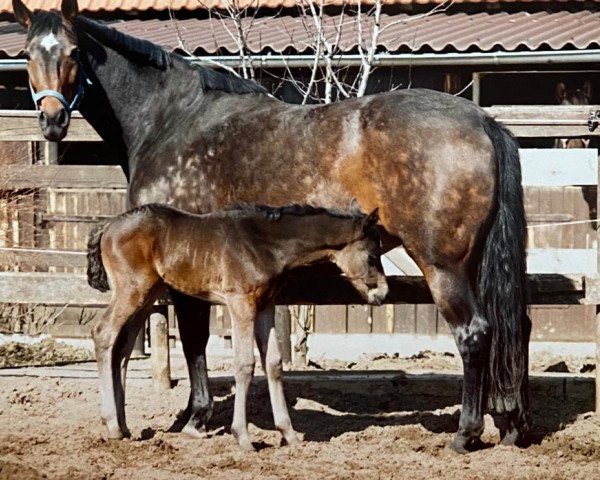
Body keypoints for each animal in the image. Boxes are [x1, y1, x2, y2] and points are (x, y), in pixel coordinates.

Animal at [88, 202, 390, 450]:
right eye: (372, 256)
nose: (383, 293)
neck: (265, 244)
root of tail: (107, 227)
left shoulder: (266, 306)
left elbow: (273, 363)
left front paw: (289, 434)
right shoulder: (240, 303)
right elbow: (245, 364)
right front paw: (242, 437)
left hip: (147, 295)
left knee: (123, 348)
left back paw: (123, 426)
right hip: (132, 291)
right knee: (103, 333)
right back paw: (112, 424)